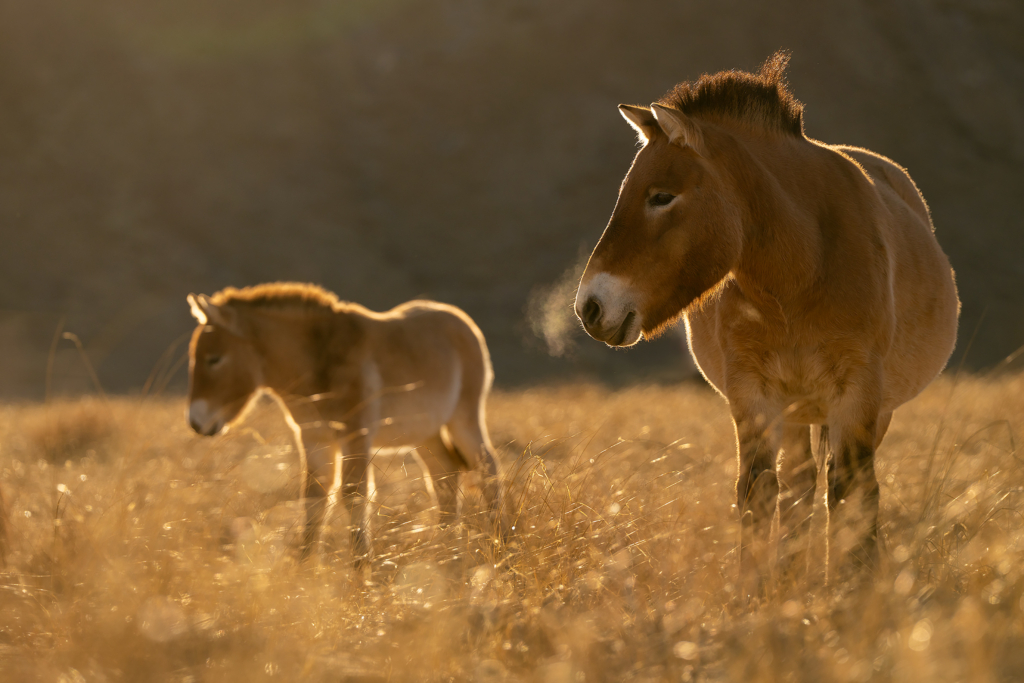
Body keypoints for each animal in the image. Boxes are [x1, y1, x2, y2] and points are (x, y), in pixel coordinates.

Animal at [188, 282, 507, 565]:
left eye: (214, 359)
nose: (195, 422)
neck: (319, 358)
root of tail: (461, 321)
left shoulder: (356, 437)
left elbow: (354, 496)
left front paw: (360, 573)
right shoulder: (314, 440)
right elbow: (314, 499)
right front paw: (305, 572)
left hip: (463, 420)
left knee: (487, 468)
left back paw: (498, 545)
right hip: (424, 434)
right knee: (445, 476)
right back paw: (447, 553)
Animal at [577, 54, 958, 589]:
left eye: (661, 196)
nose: (590, 306)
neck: (803, 271)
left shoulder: (859, 394)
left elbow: (852, 493)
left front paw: (849, 589)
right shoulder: (753, 393)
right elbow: (757, 492)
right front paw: (757, 592)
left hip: (870, 410)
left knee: (847, 486)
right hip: (796, 410)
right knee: (799, 487)